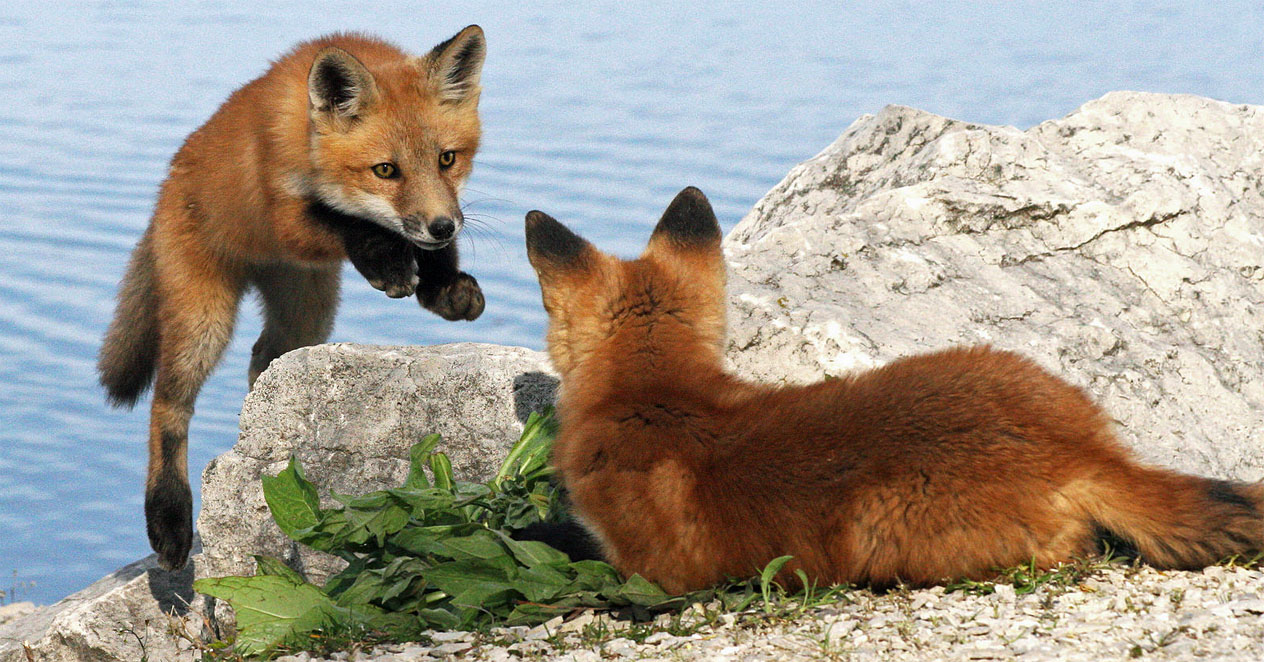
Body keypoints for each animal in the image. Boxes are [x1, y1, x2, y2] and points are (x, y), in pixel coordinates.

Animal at [98, 27, 488, 571]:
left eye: (447, 159)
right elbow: (352, 223)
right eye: (385, 170)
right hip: (205, 319)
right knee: (169, 405)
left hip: (308, 313)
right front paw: (389, 261)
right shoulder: (286, 218)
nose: (442, 226)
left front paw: (444, 284)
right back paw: (169, 518)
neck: (309, 145)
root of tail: (165, 190)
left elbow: (417, 246)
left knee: (264, 362)